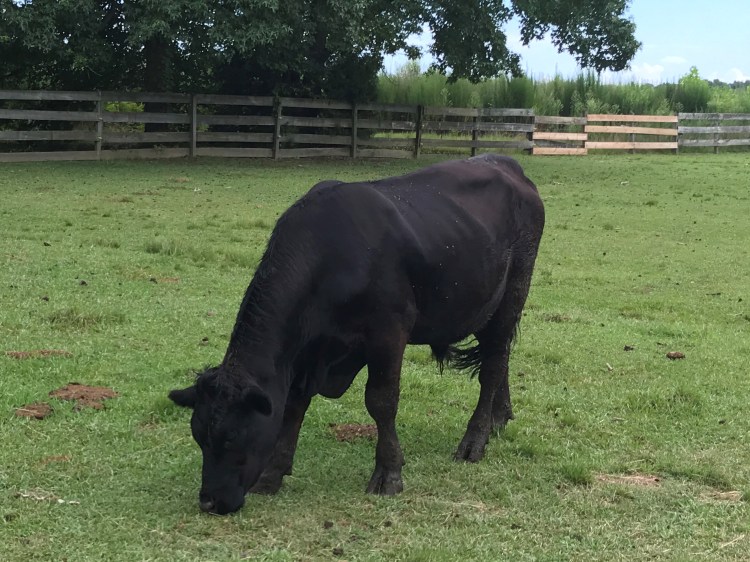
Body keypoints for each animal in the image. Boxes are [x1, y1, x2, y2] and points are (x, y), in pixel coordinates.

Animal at [169, 154, 545, 515]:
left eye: (231, 437)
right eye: (198, 436)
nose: (209, 502)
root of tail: (505, 164)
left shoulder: (388, 332)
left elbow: (381, 401)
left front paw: (388, 473)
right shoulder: (308, 350)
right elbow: (293, 405)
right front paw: (274, 473)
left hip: (513, 293)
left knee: (492, 366)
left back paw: (475, 440)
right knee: (499, 358)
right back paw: (499, 417)